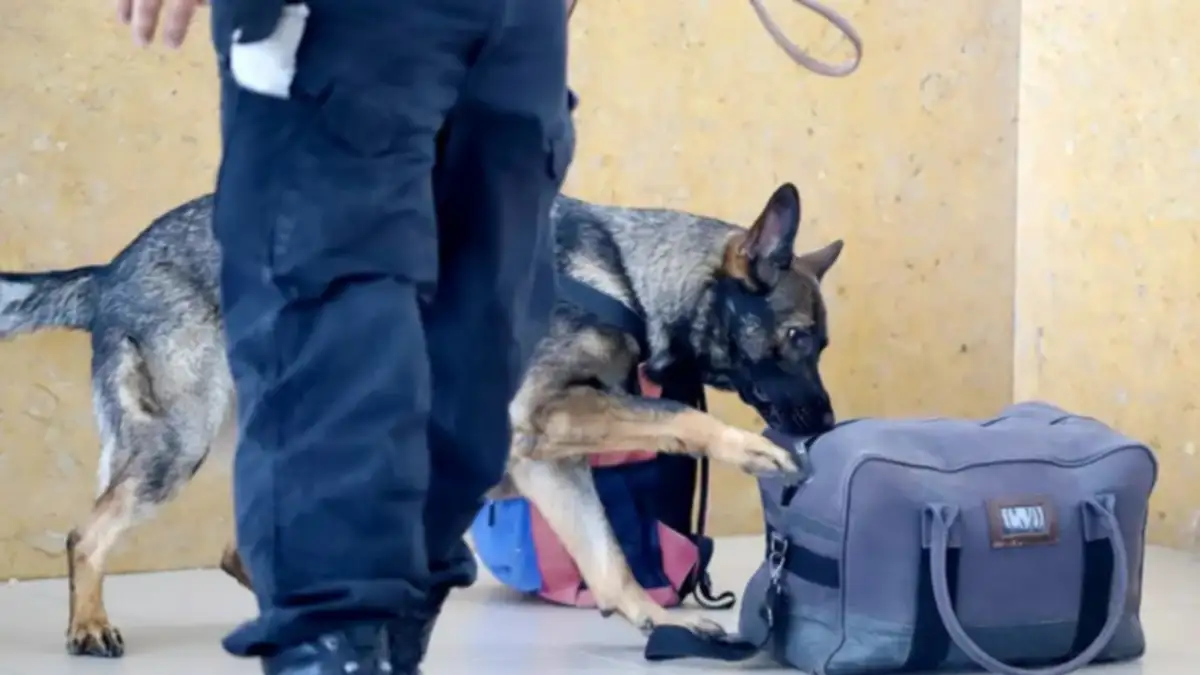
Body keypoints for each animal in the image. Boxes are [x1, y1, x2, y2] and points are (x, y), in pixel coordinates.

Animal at [0, 181, 843, 657]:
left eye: (820, 343)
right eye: (800, 337)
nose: (826, 424)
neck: (630, 274)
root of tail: (110, 269)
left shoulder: (546, 453)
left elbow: (607, 557)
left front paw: (655, 622)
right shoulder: (550, 415)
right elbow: (673, 414)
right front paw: (754, 451)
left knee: (239, 549)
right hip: (180, 443)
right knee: (87, 534)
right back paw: (88, 624)